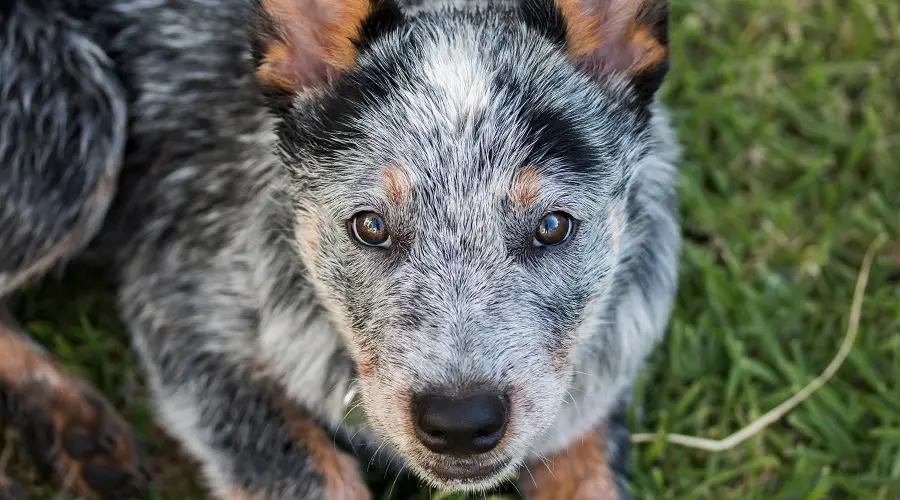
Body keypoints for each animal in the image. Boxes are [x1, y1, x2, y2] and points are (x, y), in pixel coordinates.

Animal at [0, 0, 676, 496]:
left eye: (554, 226)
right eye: (370, 226)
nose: (460, 422)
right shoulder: (179, 306)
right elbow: (307, 474)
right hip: (77, 121)